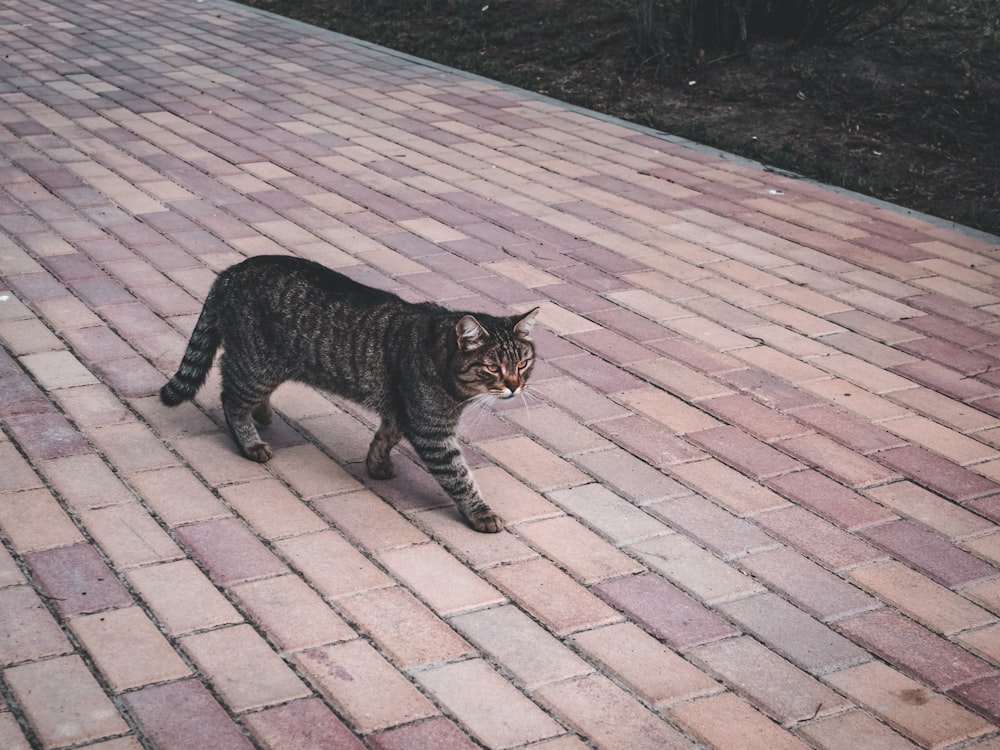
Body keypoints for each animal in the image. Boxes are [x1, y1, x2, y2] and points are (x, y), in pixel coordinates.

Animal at [160, 258, 540, 536]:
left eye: (523, 363)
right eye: (492, 368)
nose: (515, 386)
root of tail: (231, 271)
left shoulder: (401, 410)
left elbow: (385, 436)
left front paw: (376, 464)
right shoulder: (431, 430)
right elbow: (459, 476)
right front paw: (480, 513)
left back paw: (263, 414)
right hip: (255, 364)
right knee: (230, 395)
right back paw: (250, 440)